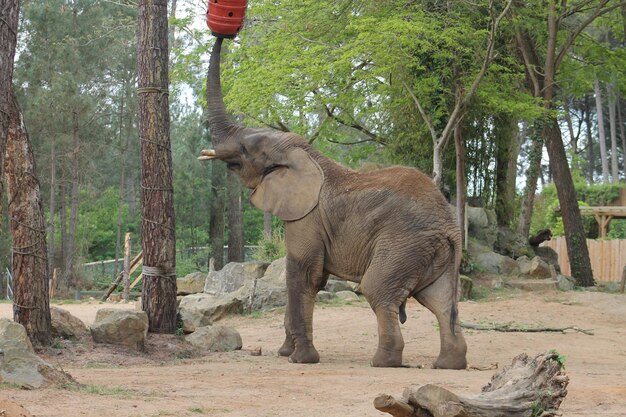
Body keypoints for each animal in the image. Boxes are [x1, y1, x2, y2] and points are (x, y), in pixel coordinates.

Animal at [197, 37, 466, 368]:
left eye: (246, 149)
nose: (224, 34)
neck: (306, 154)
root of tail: (451, 227)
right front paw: (286, 353)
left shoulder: (307, 218)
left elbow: (304, 275)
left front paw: (300, 359)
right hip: (431, 251)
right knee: (440, 301)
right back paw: (448, 365)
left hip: (404, 244)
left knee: (377, 289)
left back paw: (383, 362)